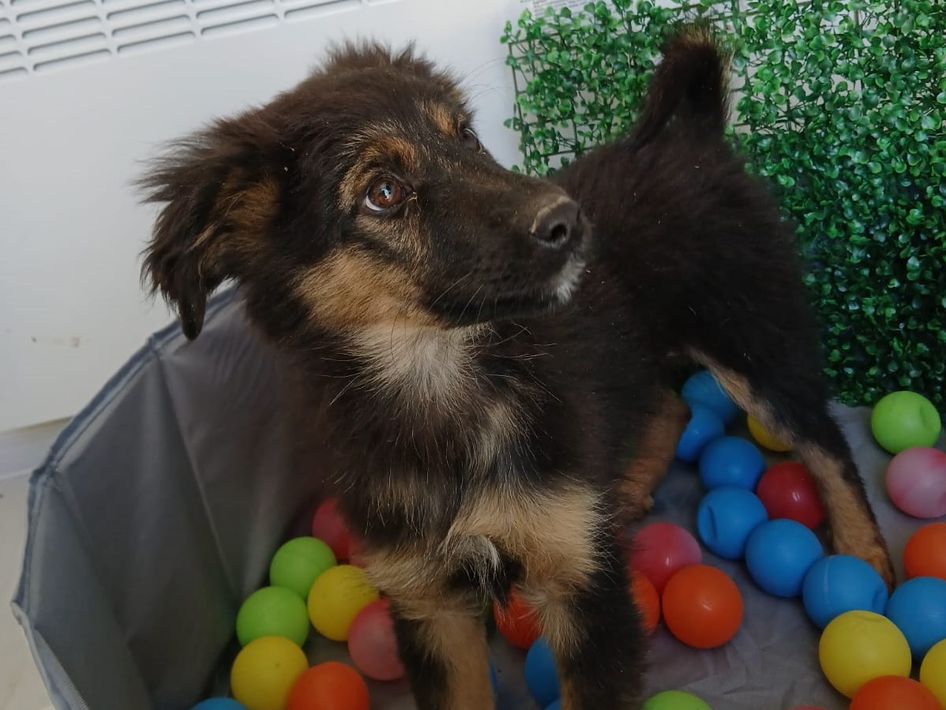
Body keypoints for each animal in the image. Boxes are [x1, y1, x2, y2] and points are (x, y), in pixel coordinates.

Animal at [141, 28, 894, 709]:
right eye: (383, 192)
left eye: (469, 139)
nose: (570, 222)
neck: (444, 379)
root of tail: (697, 140)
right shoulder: (428, 603)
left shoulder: (587, 593)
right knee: (671, 404)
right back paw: (625, 490)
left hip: (750, 338)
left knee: (824, 439)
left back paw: (864, 557)